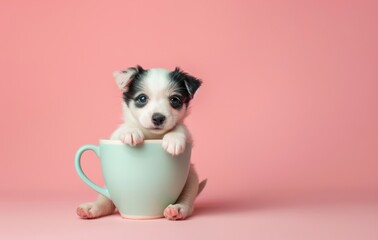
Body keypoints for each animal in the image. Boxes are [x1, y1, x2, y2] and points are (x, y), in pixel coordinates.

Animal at [77, 66, 207, 221]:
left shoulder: (188, 136)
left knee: (187, 202)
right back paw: (92, 208)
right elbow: (125, 128)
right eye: (142, 98)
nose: (158, 118)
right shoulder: (115, 136)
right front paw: (130, 131)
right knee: (106, 200)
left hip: (191, 177)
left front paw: (173, 139)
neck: (153, 136)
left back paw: (177, 209)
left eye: (174, 100)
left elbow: (180, 128)